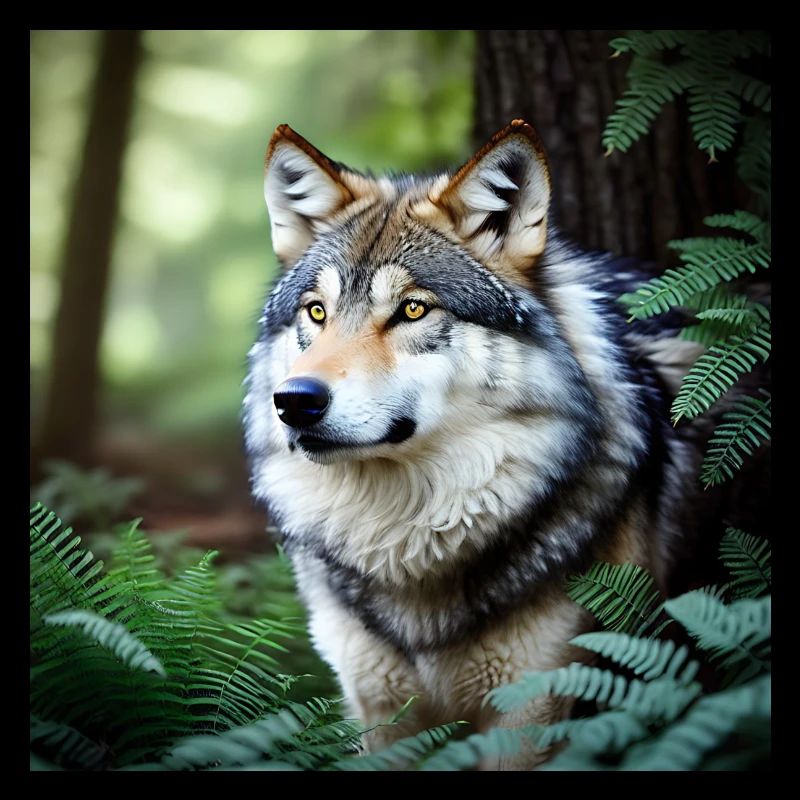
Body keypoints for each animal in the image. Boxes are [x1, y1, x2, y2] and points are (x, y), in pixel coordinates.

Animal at [243, 119, 706, 768]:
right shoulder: (380, 711)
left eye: (412, 309)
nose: (294, 401)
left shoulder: (529, 711)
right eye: (316, 312)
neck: (404, 544)